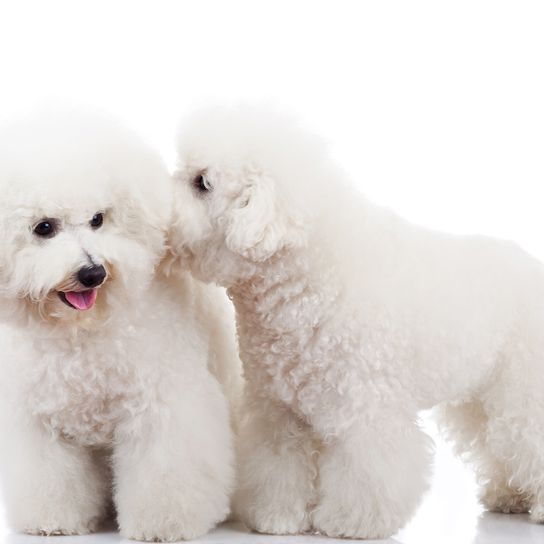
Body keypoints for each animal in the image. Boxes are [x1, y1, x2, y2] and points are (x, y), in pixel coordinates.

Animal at [0, 109, 241, 540]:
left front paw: (162, 525)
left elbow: (166, 473)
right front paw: (54, 521)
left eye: (98, 219)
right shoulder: (38, 421)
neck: (82, 333)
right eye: (44, 227)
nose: (93, 273)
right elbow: (50, 479)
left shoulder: (165, 406)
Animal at [170, 106, 544, 540]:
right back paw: (508, 495)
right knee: (498, 447)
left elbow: (365, 473)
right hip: (481, 398)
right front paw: (277, 517)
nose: (160, 200)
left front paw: (350, 522)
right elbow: (278, 465)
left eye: (202, 183)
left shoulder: (364, 411)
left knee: (527, 440)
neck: (311, 278)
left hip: (521, 392)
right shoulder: (276, 408)